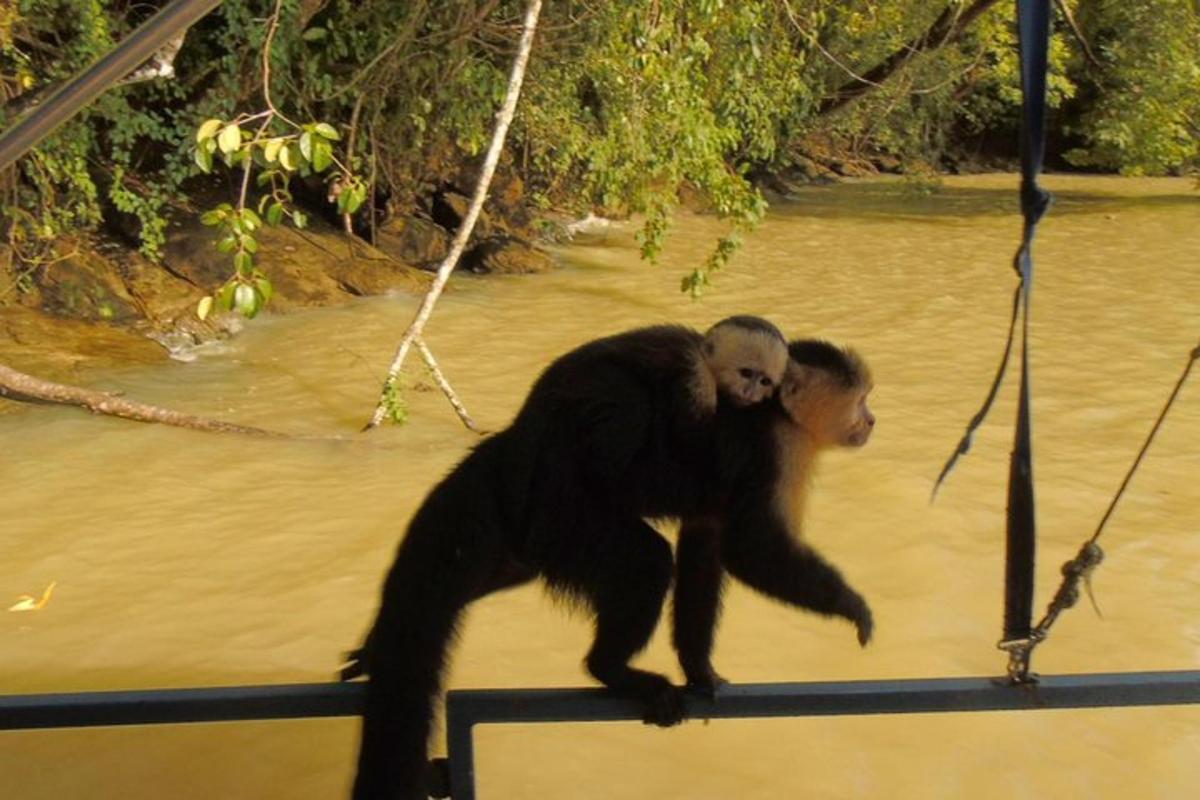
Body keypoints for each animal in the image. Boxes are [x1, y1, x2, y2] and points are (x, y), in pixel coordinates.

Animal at [348, 321, 873, 800]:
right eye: (862, 400)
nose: (872, 421)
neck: (780, 414)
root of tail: (516, 450)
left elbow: (704, 545)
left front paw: (700, 670)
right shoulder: (774, 450)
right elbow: (750, 550)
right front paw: (853, 608)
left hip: (535, 535)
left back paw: (374, 646)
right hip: (568, 513)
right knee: (646, 561)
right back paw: (611, 668)